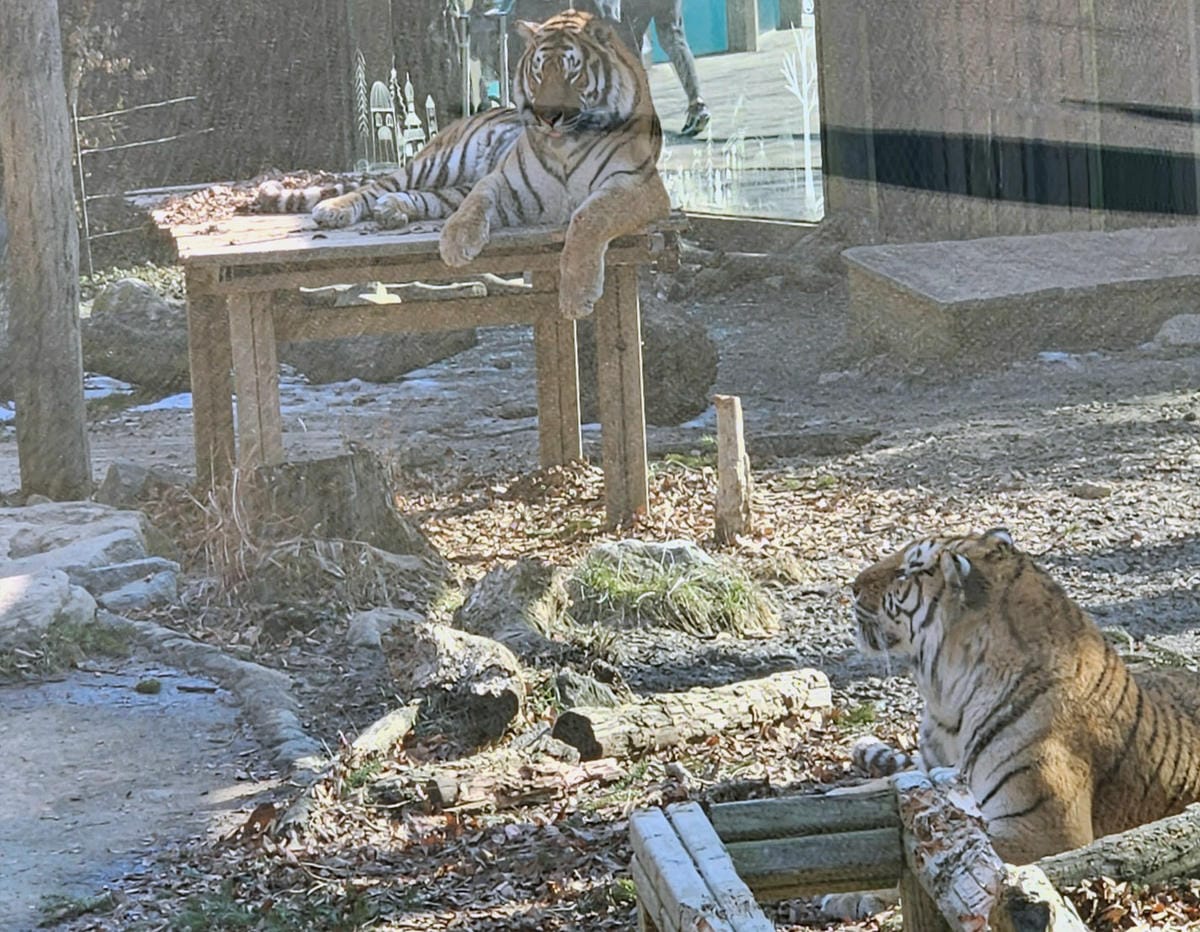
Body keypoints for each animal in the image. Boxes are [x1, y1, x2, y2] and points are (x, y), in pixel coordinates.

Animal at [255, 10, 670, 319]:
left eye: (572, 71)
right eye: (539, 71)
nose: (547, 116)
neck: (564, 144)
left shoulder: (639, 185)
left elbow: (588, 216)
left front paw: (576, 296)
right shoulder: (504, 180)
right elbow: (476, 202)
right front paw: (456, 242)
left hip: (446, 183)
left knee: (423, 198)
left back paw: (392, 212)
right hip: (438, 160)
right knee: (378, 185)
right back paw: (337, 209)